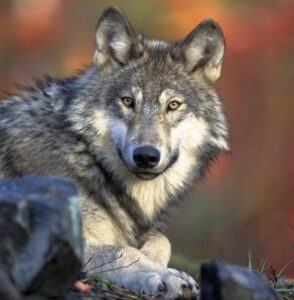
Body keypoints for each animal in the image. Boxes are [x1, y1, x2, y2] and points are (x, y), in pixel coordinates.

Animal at [0, 5, 230, 298]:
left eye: (173, 105)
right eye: (128, 101)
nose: (146, 156)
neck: (86, 156)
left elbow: (162, 239)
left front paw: (155, 262)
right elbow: (122, 251)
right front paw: (164, 275)